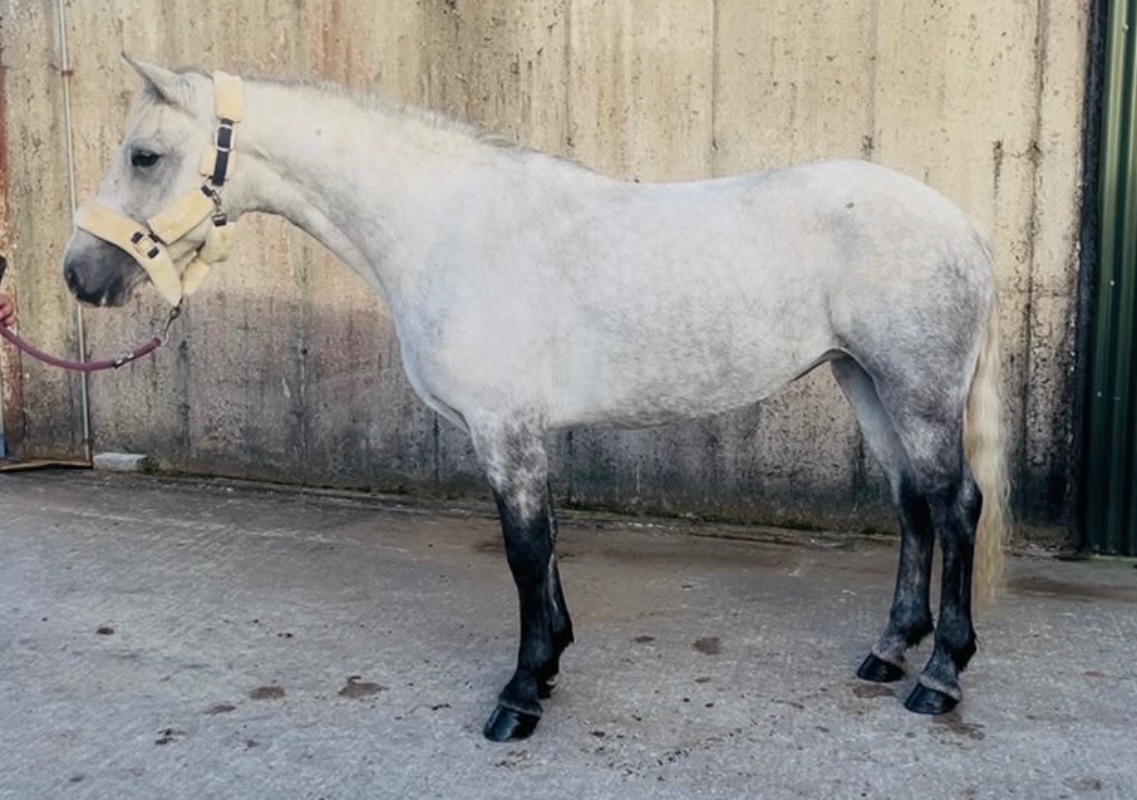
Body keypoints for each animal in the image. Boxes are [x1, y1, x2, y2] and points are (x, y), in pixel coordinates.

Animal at [61, 58, 1009, 742]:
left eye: (144, 154)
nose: (79, 274)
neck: (447, 228)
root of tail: (962, 224)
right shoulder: (517, 433)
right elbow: (542, 551)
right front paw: (548, 668)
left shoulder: (504, 430)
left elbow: (524, 553)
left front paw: (518, 697)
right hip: (864, 383)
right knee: (911, 506)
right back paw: (888, 652)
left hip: (916, 391)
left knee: (954, 506)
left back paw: (938, 678)